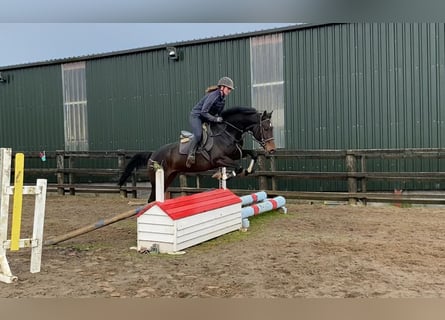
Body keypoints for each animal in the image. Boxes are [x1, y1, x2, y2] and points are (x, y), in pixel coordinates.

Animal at [119, 107, 276, 202]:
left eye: (272, 128)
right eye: (265, 128)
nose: (272, 150)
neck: (227, 133)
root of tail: (153, 154)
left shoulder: (236, 154)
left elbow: (253, 154)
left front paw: (247, 171)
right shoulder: (220, 159)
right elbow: (237, 168)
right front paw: (221, 175)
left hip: (168, 178)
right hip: (156, 179)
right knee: (151, 199)